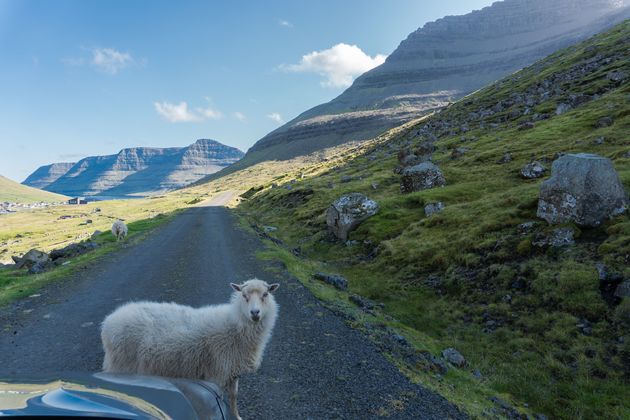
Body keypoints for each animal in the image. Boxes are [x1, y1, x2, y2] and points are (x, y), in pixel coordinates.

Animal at [102, 278, 280, 418]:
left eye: (265, 295)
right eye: (244, 296)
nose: (255, 313)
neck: (235, 325)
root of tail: (109, 320)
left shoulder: (232, 371)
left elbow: (234, 396)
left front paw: (237, 416)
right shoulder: (217, 373)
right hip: (121, 364)